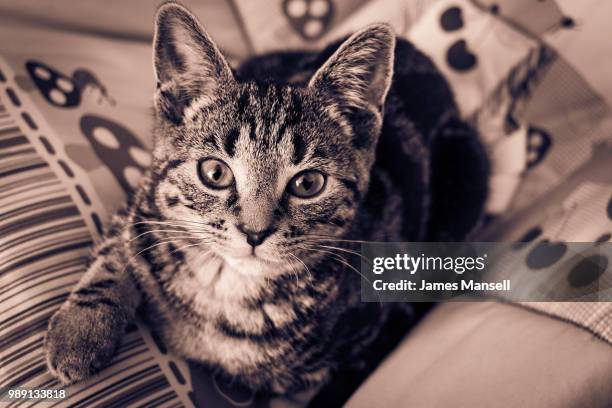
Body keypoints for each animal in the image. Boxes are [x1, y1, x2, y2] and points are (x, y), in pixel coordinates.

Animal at [44, 0, 488, 396]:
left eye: (308, 184)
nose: (254, 232)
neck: (223, 288)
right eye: (215, 173)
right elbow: (115, 251)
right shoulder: (144, 201)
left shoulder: (378, 329)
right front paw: (79, 332)